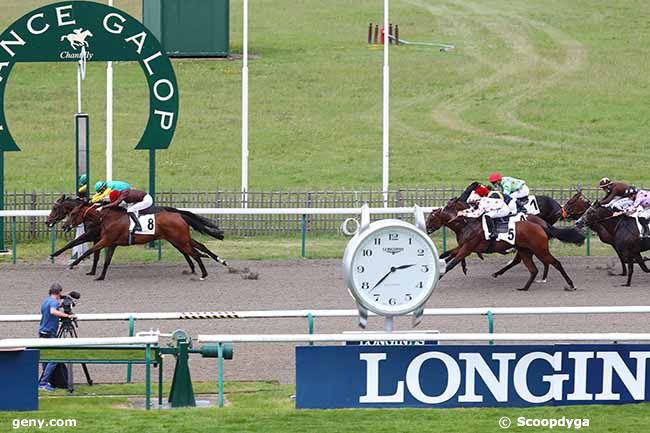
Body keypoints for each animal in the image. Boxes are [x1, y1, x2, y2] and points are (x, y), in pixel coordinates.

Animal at [428, 198, 576, 290]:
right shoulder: (464, 246)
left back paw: (569, 284)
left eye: (430, 218)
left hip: (537, 249)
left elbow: (452, 262)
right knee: (531, 264)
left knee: (552, 262)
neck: (467, 224)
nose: (427, 229)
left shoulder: (468, 247)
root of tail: (542, 224)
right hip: (526, 249)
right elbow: (447, 253)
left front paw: (440, 274)